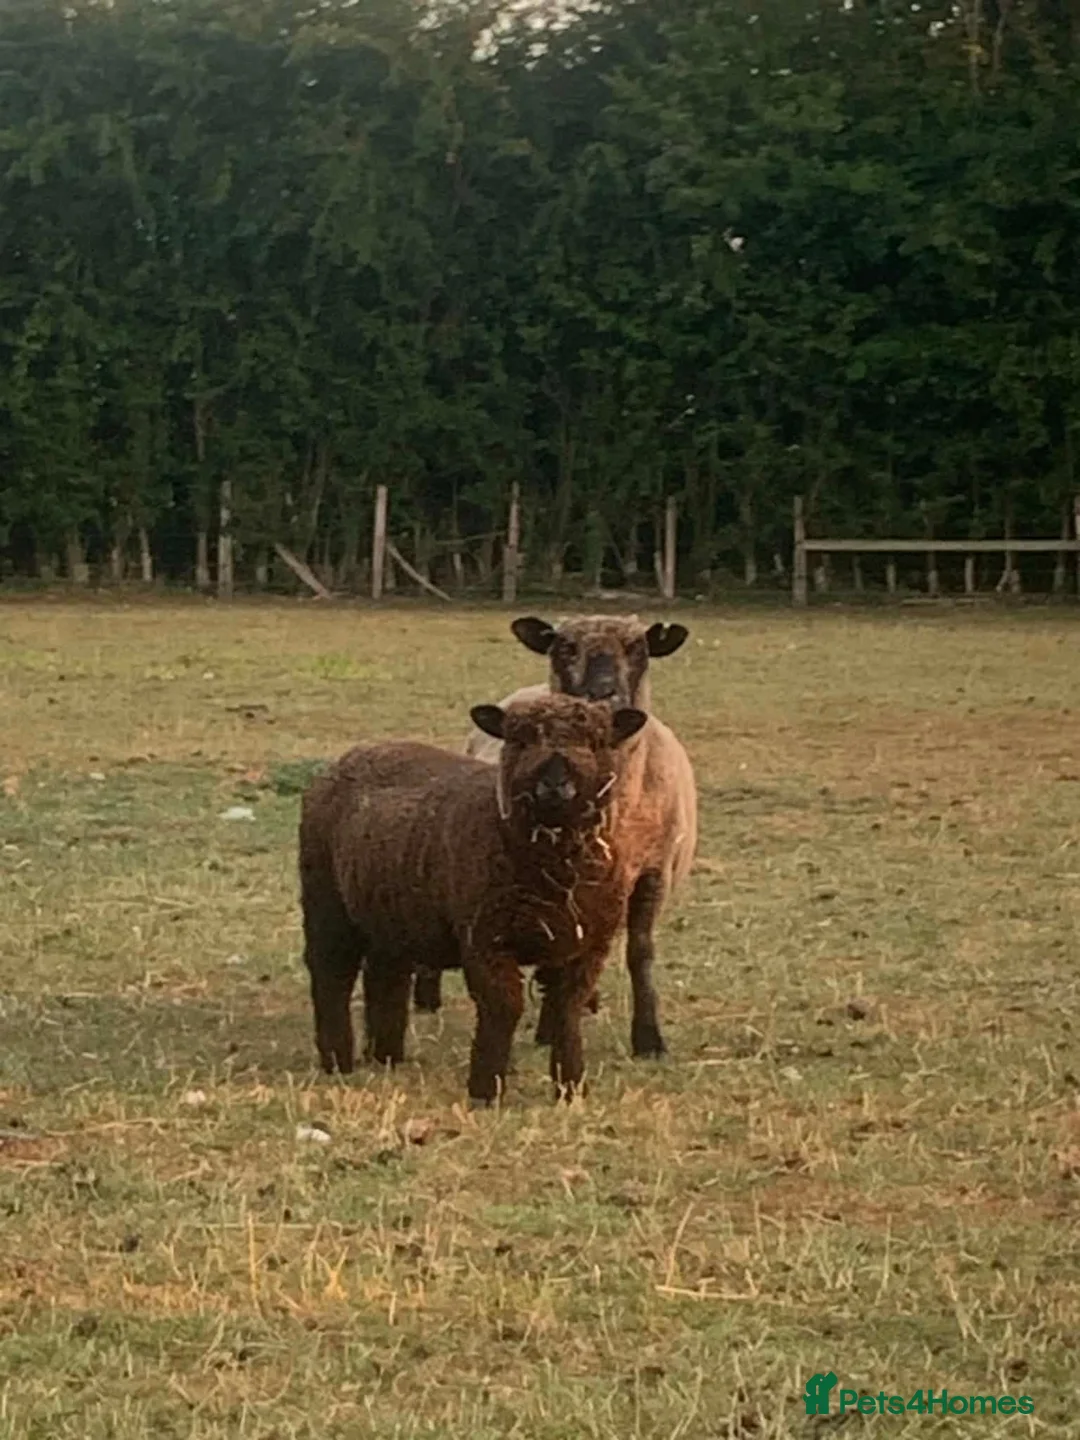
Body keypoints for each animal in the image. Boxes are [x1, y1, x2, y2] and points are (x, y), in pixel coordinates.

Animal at [298, 693, 649, 1103]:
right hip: (326, 899)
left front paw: (571, 1087)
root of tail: (351, 755)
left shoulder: (588, 944)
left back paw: (386, 1056)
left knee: (385, 974)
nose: (555, 782)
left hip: (389, 911)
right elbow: (503, 1005)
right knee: (331, 973)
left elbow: (568, 1008)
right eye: (519, 740)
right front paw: (486, 1088)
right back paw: (337, 1060)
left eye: (595, 741)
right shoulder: (485, 937)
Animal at [416, 613, 697, 1059]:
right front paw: (551, 1029)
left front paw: (649, 1039)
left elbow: (640, 952)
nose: (603, 694)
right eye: (565, 647)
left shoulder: (655, 872)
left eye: (637, 647)